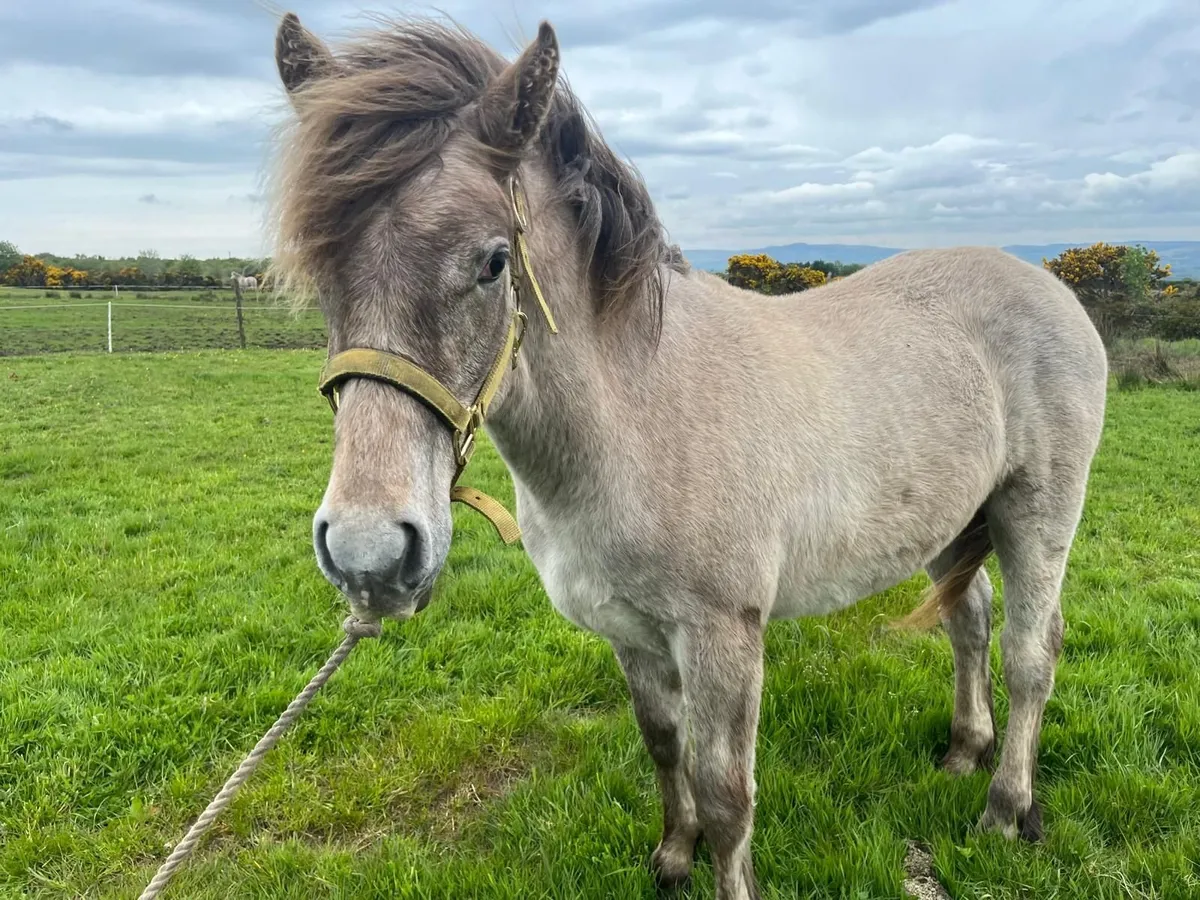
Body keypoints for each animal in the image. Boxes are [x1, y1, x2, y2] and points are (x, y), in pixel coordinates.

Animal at [267, 13, 1108, 899]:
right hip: (950, 519)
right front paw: (674, 854)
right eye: (318, 272)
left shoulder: (723, 637)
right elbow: (663, 742)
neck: (634, 421)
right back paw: (961, 753)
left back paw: (1006, 808)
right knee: (968, 621)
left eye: (494, 261)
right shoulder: (632, 634)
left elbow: (727, 793)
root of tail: (1049, 287)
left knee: (1029, 653)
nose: (369, 555)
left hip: (1036, 513)